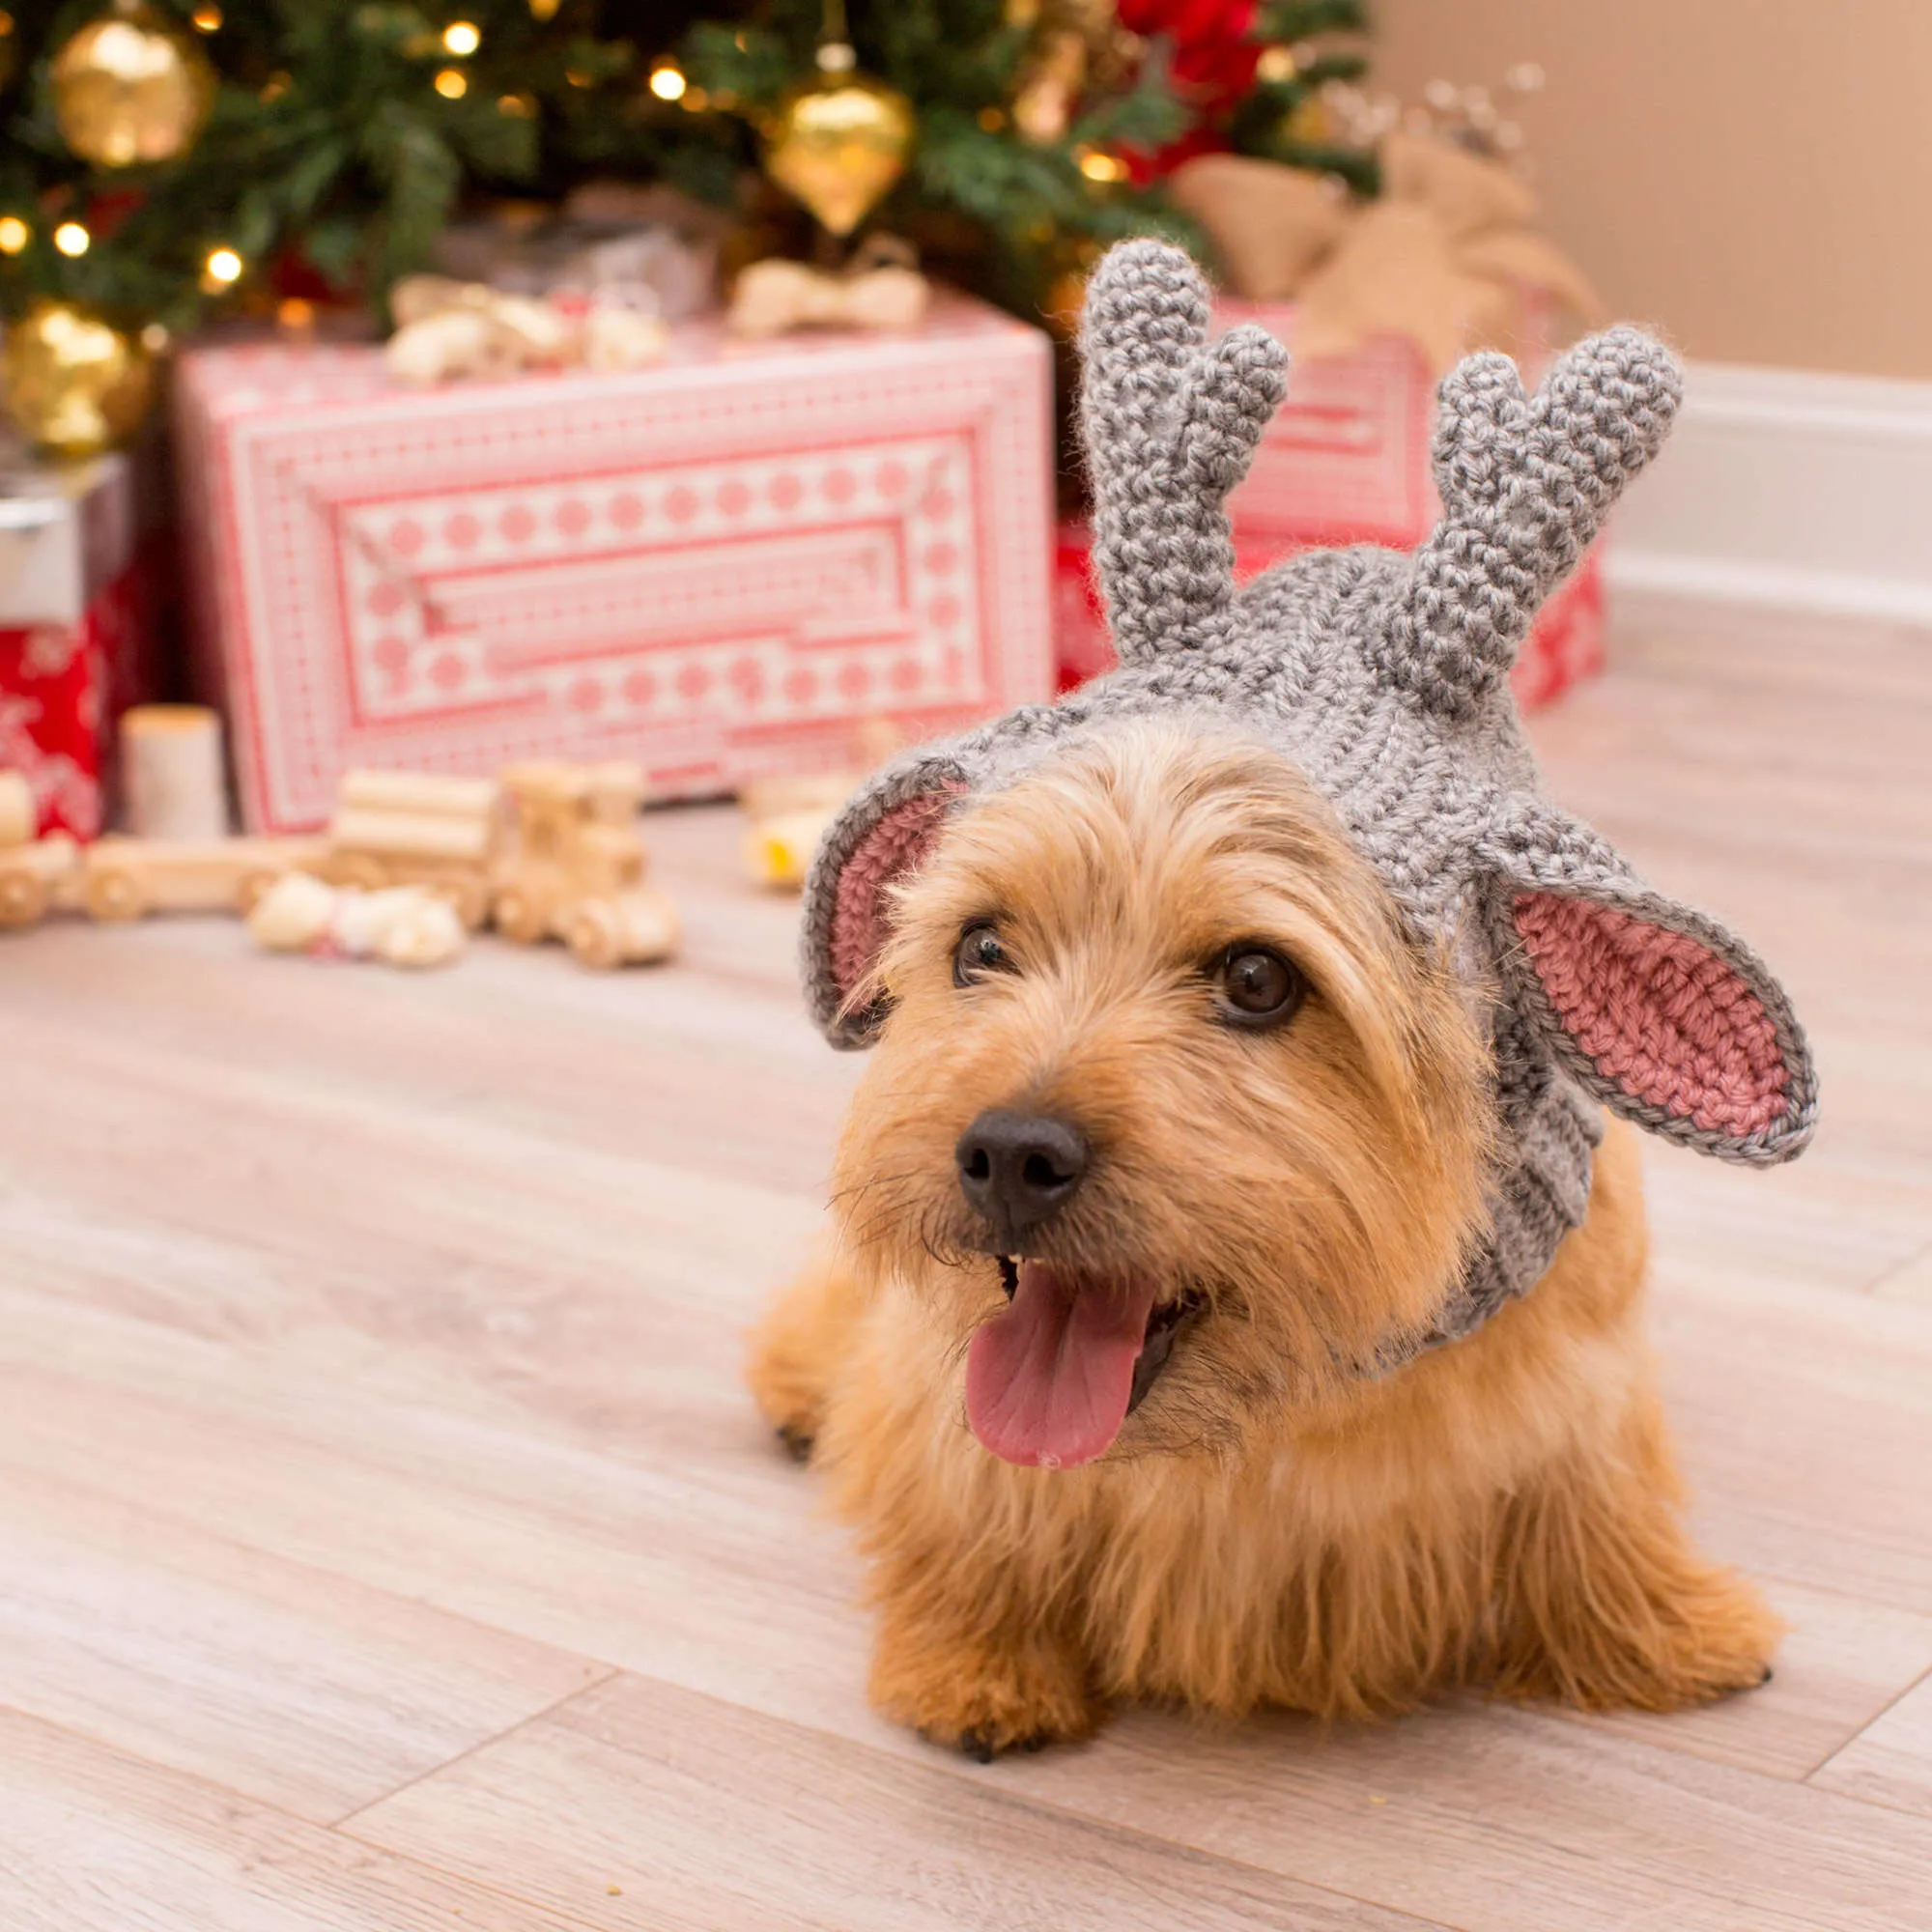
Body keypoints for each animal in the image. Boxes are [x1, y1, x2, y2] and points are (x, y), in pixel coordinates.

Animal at [742, 238, 1808, 1754]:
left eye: (1257, 979)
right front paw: (978, 1665)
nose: (1008, 1150)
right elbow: (964, 1502)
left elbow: (1591, 1504)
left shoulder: (1577, 1390)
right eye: (980, 948)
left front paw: (1665, 1629)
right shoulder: (946, 1409)